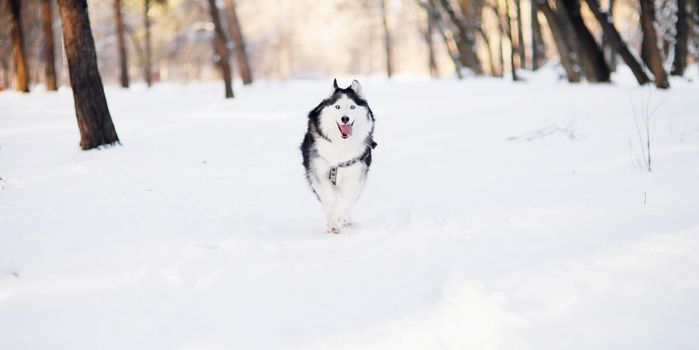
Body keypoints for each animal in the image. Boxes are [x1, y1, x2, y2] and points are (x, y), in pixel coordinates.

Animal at [300, 79, 378, 232]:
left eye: (352, 107)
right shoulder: (318, 173)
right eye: (337, 107)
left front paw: (340, 215)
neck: (341, 143)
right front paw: (333, 220)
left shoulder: (356, 175)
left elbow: (347, 200)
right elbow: (329, 200)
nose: (345, 118)